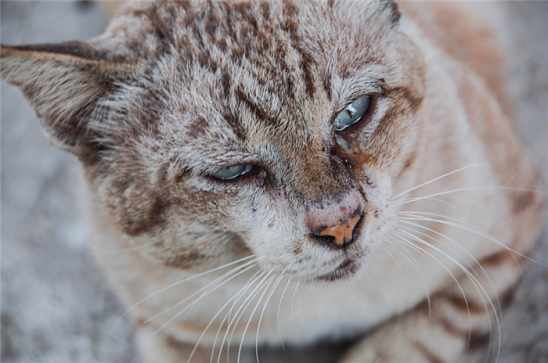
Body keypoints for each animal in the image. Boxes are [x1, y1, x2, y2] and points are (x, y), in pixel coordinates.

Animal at [2, 0, 544, 363]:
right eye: (231, 171)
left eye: (352, 113)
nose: (341, 226)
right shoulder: (169, 329)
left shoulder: (510, 225)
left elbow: (412, 341)